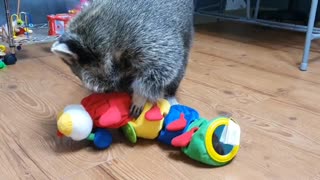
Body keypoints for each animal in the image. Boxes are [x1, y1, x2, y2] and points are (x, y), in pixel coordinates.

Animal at [51, 0, 194, 117]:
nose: (111, 93)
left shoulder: (144, 33)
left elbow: (163, 64)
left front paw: (140, 95)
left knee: (179, 68)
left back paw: (170, 93)